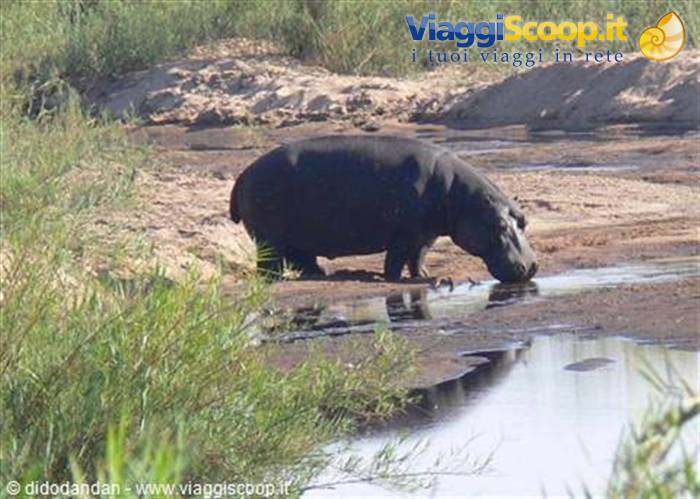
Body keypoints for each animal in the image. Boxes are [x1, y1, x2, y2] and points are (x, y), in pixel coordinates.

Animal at [230, 135, 537, 283]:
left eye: (523, 220)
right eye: (499, 225)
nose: (533, 266)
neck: (459, 196)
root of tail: (243, 174)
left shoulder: (425, 234)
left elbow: (418, 257)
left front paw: (423, 276)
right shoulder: (403, 233)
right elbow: (397, 258)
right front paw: (392, 278)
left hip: (299, 237)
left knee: (303, 259)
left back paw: (322, 274)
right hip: (269, 238)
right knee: (270, 264)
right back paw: (278, 280)